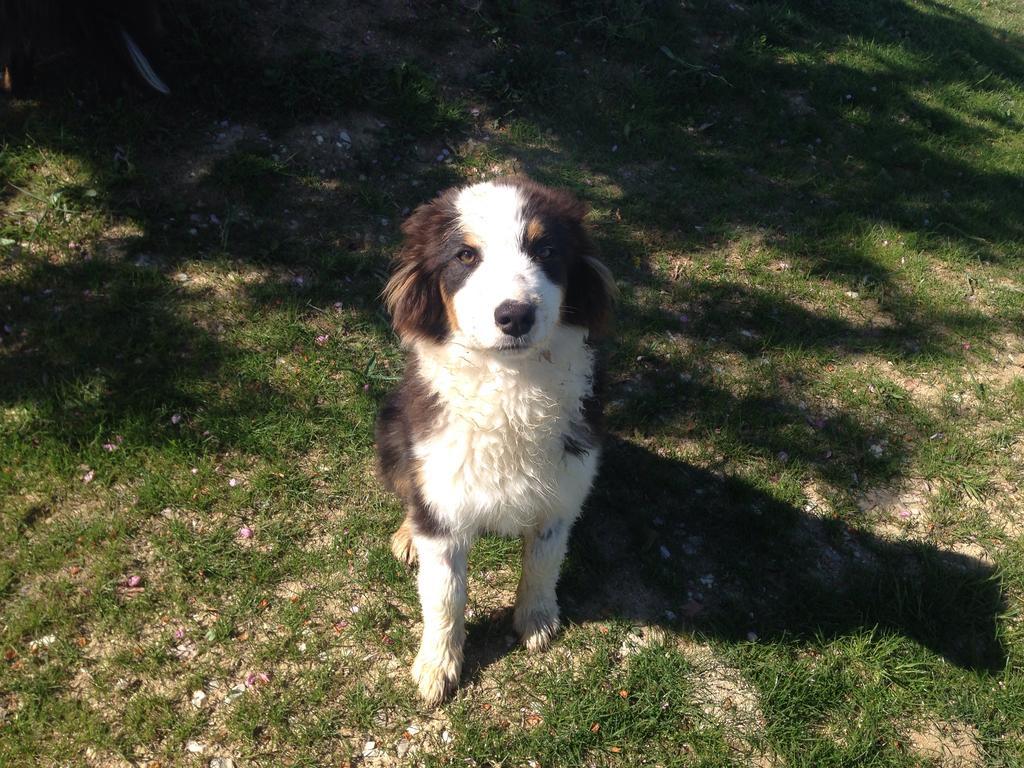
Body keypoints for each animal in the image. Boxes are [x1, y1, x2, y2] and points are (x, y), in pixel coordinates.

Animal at [378, 177, 610, 708]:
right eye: (465, 255)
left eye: (547, 250)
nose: (515, 316)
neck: (509, 385)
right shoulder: (440, 501)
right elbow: (444, 595)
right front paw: (437, 667)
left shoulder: (563, 491)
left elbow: (543, 563)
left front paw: (536, 620)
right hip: (391, 431)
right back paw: (405, 535)